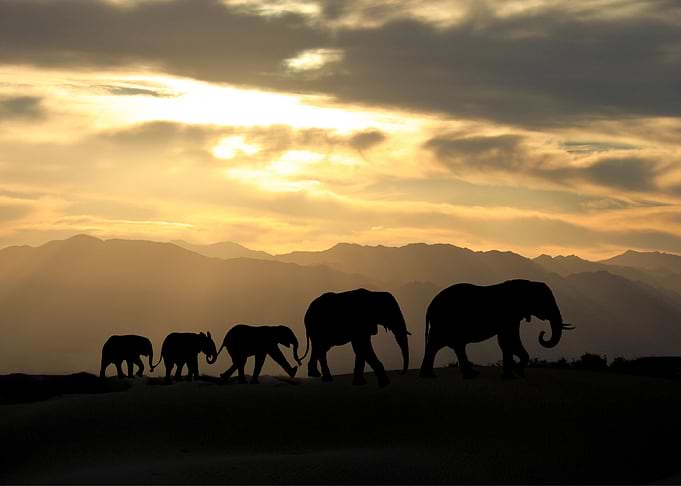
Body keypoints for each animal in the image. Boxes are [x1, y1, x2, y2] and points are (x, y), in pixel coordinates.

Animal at [420, 279, 574, 380]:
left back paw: (432, 375)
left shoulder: (513, 316)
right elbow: (509, 339)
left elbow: (507, 340)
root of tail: (429, 306)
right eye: (546, 302)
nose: (543, 333)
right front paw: (515, 373)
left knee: (442, 345)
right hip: (445, 322)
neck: (528, 283)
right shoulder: (509, 314)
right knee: (445, 344)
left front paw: (515, 373)